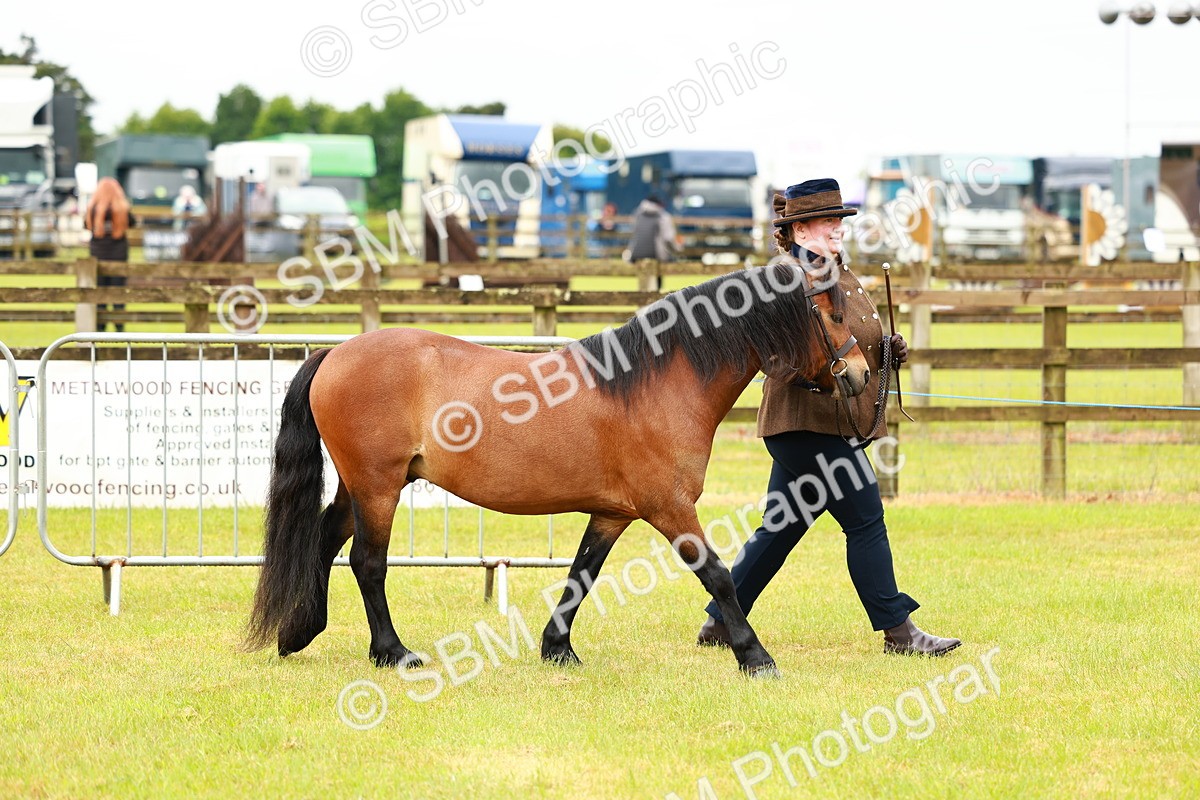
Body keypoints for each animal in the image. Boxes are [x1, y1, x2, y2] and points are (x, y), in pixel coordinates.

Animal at [245, 260, 872, 676]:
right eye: (833, 311)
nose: (864, 373)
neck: (656, 385)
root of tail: (336, 351)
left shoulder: (614, 513)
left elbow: (581, 574)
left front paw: (556, 647)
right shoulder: (670, 509)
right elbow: (717, 574)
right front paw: (755, 655)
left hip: (364, 487)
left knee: (325, 539)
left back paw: (298, 633)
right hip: (378, 487)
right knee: (368, 563)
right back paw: (392, 653)